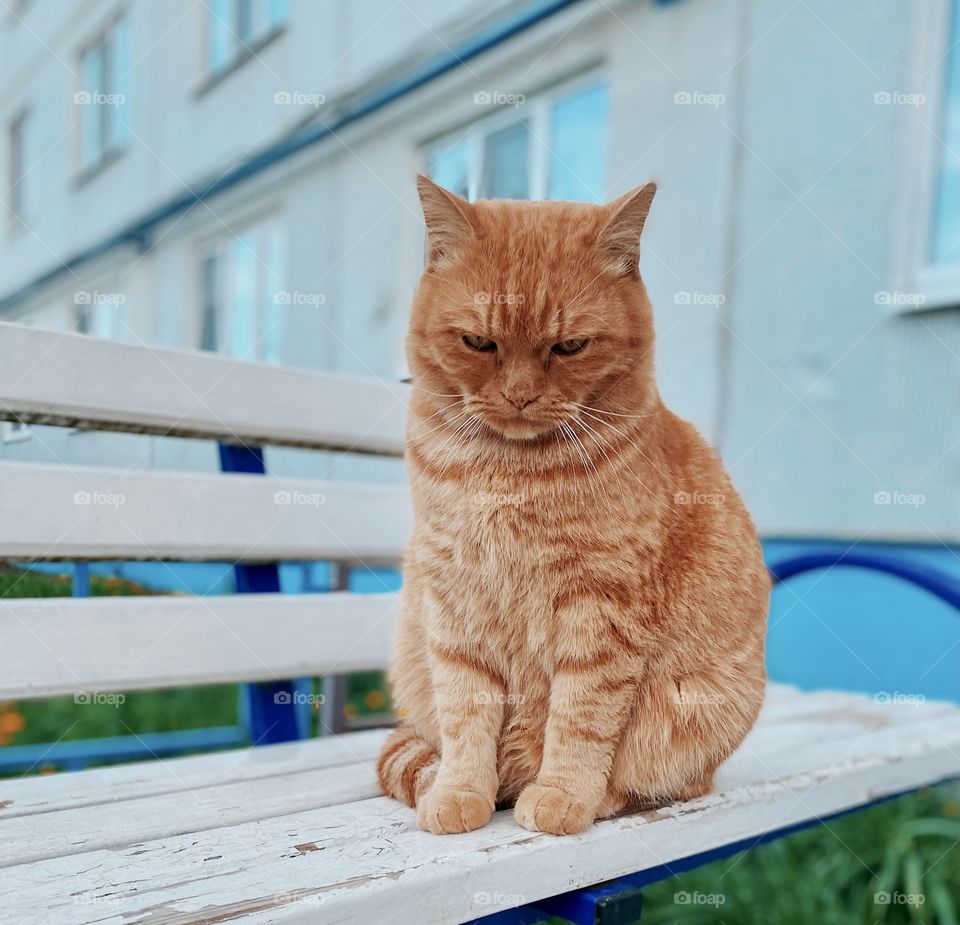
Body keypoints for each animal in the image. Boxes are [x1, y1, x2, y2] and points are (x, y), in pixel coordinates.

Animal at [378, 175, 768, 836]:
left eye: (570, 347)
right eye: (478, 342)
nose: (519, 396)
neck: (510, 472)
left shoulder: (600, 610)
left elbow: (580, 717)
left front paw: (562, 794)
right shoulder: (454, 602)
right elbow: (465, 710)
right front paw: (459, 791)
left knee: (670, 780)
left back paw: (596, 797)